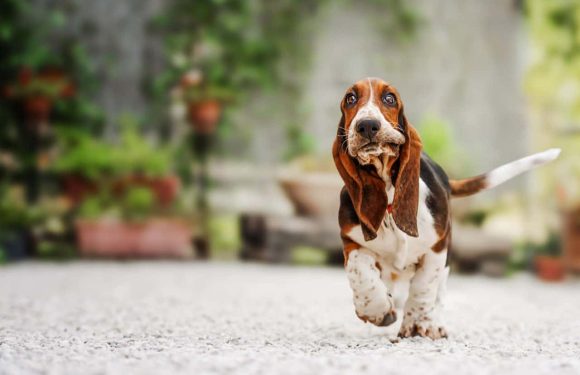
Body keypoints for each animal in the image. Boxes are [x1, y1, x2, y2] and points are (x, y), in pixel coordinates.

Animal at [334, 77, 560, 340]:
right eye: (350, 99)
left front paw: (417, 323)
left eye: (389, 98)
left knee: (437, 293)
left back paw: (434, 324)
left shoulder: (438, 247)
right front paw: (377, 310)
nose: (367, 125)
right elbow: (360, 271)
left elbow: (424, 287)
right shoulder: (351, 241)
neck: (389, 200)